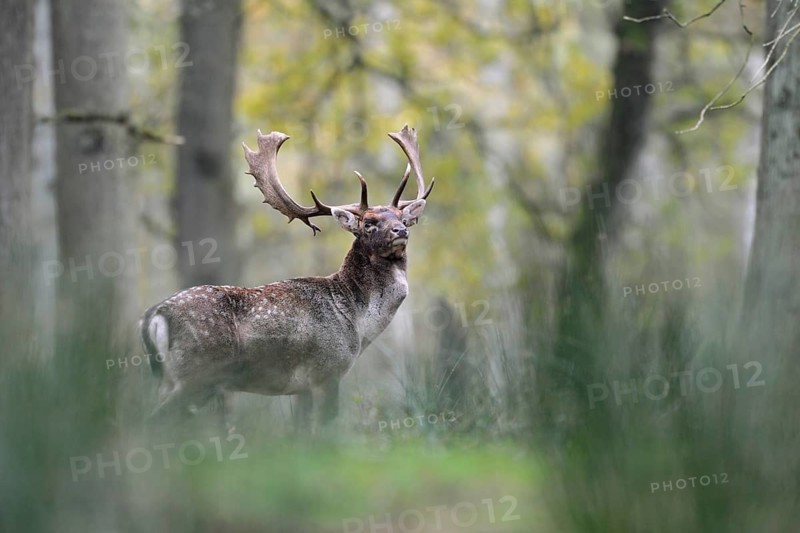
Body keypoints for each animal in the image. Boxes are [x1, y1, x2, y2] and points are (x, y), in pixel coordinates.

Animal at [140, 125, 433, 433]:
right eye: (369, 222)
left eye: (402, 216)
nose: (401, 230)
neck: (358, 322)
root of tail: (154, 316)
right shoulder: (327, 370)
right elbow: (326, 427)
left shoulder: (301, 388)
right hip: (197, 373)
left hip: (169, 379)